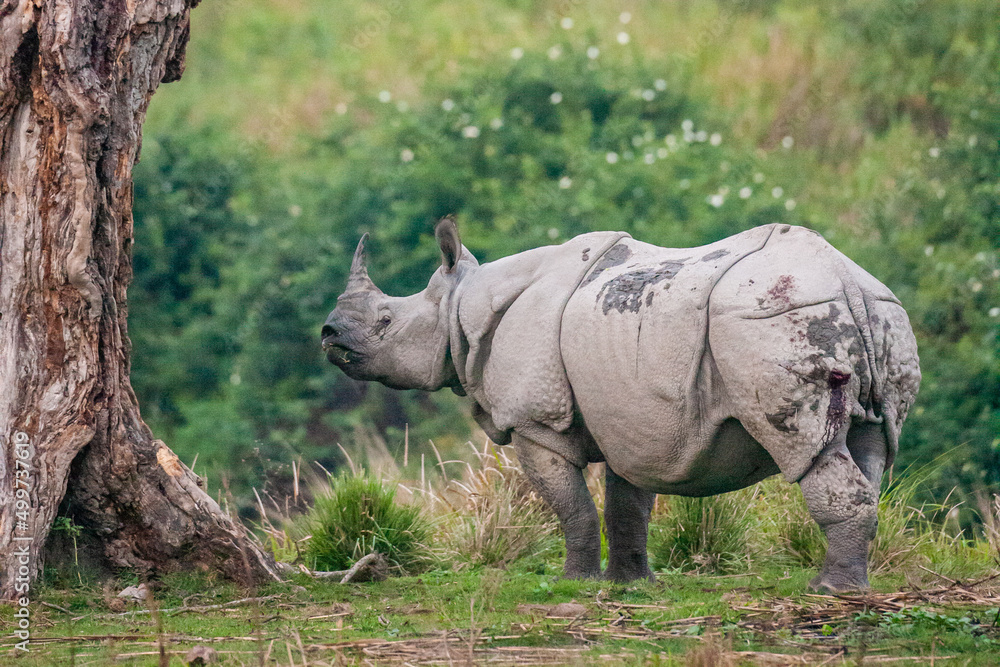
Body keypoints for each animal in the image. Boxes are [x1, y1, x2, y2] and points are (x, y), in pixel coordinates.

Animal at [321, 218, 920, 591]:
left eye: (385, 322)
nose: (328, 334)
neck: (462, 305)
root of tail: (846, 280)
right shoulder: (630, 414)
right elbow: (626, 501)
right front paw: (631, 584)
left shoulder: (534, 419)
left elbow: (571, 506)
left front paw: (575, 582)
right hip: (879, 313)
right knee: (869, 445)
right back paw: (846, 583)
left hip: (774, 318)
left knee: (808, 446)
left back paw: (828, 591)